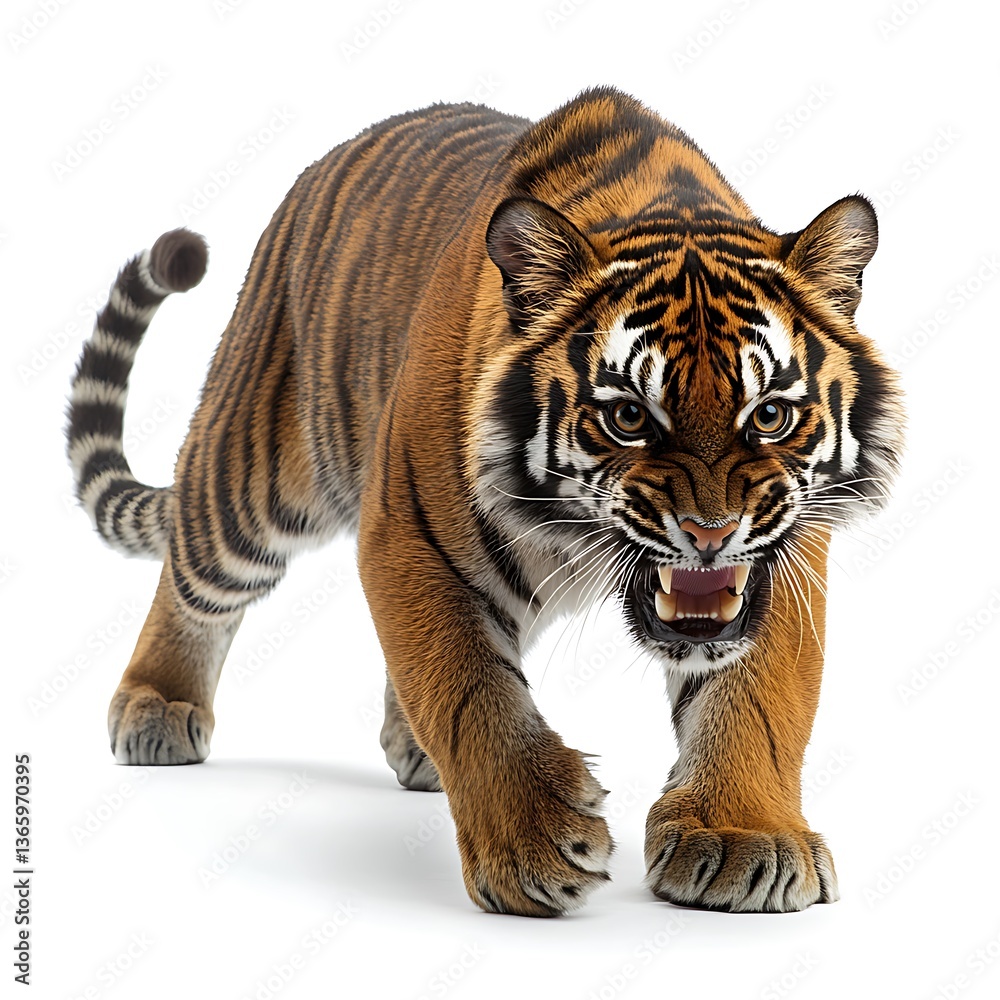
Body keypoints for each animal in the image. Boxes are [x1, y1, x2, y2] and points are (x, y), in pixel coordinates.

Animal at [66, 86, 903, 917]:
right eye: (629, 416)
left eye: (771, 415)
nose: (711, 532)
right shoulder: (408, 535)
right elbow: (470, 690)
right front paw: (532, 843)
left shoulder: (785, 557)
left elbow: (756, 700)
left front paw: (742, 836)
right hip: (253, 479)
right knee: (193, 573)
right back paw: (156, 708)